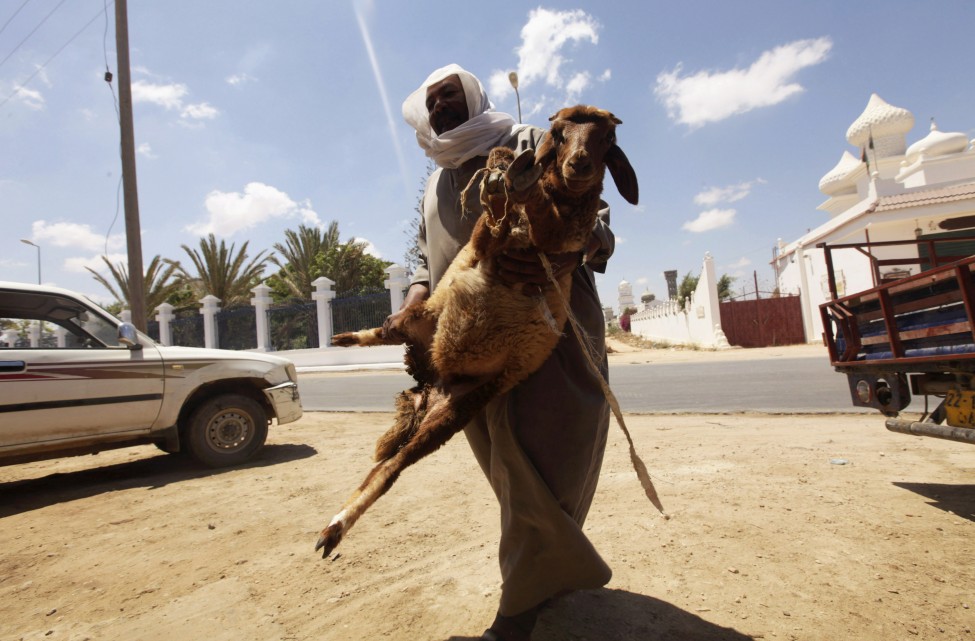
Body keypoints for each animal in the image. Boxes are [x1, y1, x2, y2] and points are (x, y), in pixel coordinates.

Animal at [316, 105, 640, 556]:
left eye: (607, 139)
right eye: (558, 134)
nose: (579, 164)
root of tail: (429, 381)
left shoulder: (558, 239)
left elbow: (546, 218)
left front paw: (517, 179)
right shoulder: (487, 238)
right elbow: (502, 197)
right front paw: (506, 171)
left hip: (456, 409)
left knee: (390, 467)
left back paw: (335, 527)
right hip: (424, 317)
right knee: (386, 336)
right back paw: (345, 338)